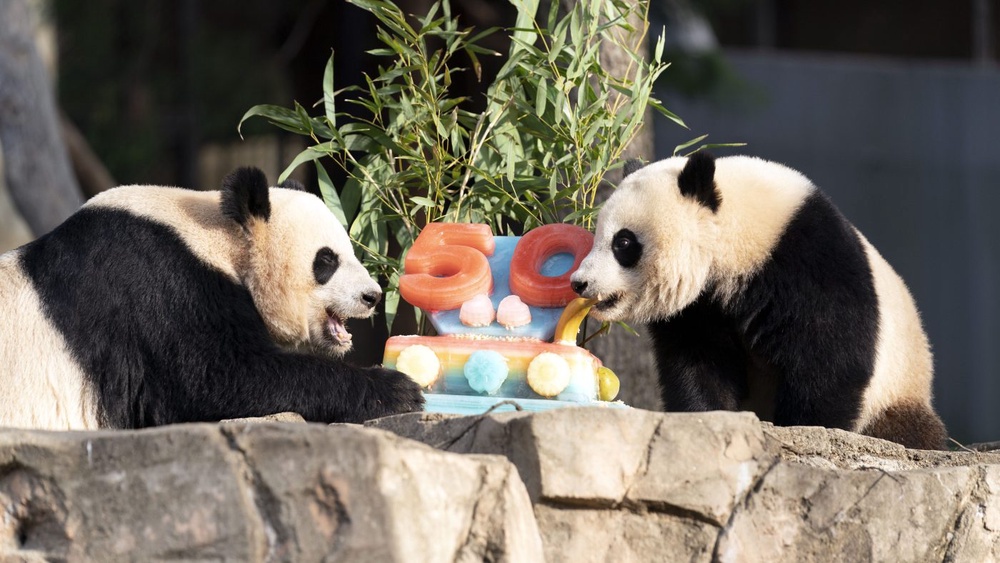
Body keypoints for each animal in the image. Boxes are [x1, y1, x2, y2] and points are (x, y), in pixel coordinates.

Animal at [0, 167, 422, 432]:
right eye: (327, 260)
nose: (372, 296)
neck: (216, 234)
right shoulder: (157, 286)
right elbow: (217, 380)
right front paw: (397, 390)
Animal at [572, 153, 944, 450]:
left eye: (623, 242)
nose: (580, 282)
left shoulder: (810, 260)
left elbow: (830, 358)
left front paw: (806, 428)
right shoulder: (700, 308)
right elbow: (698, 361)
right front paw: (709, 419)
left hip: (897, 389)